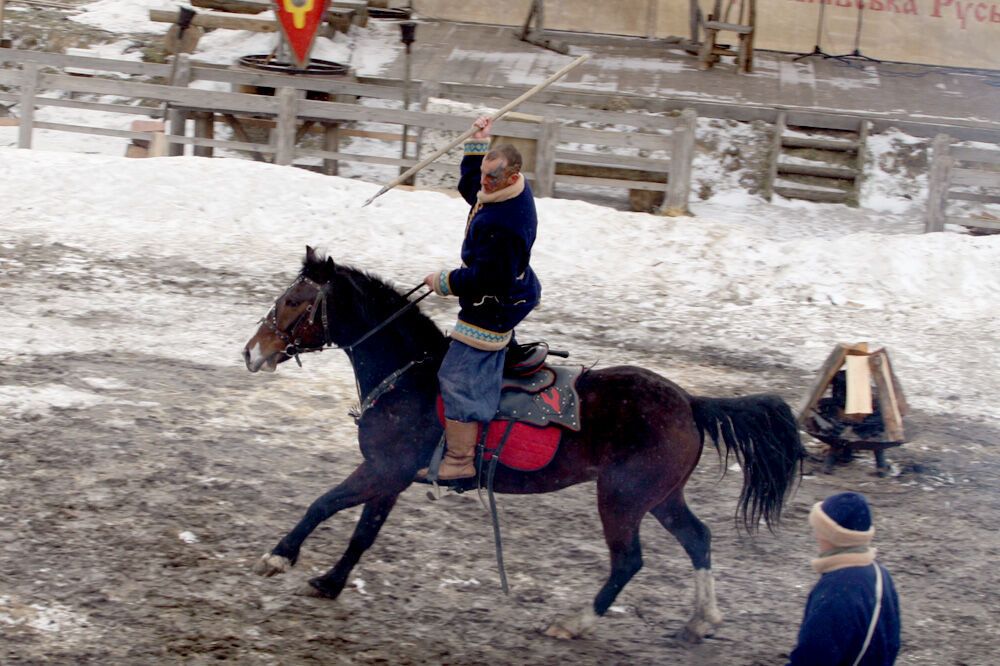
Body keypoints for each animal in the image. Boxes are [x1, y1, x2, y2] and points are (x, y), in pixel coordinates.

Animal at [242, 248, 804, 640]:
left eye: (293, 302)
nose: (251, 352)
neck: (409, 375)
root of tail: (690, 401)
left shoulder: (383, 470)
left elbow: (323, 503)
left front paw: (279, 557)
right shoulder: (392, 478)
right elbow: (363, 533)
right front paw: (330, 582)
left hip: (622, 499)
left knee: (629, 561)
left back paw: (575, 621)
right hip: (661, 496)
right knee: (698, 539)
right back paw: (700, 620)